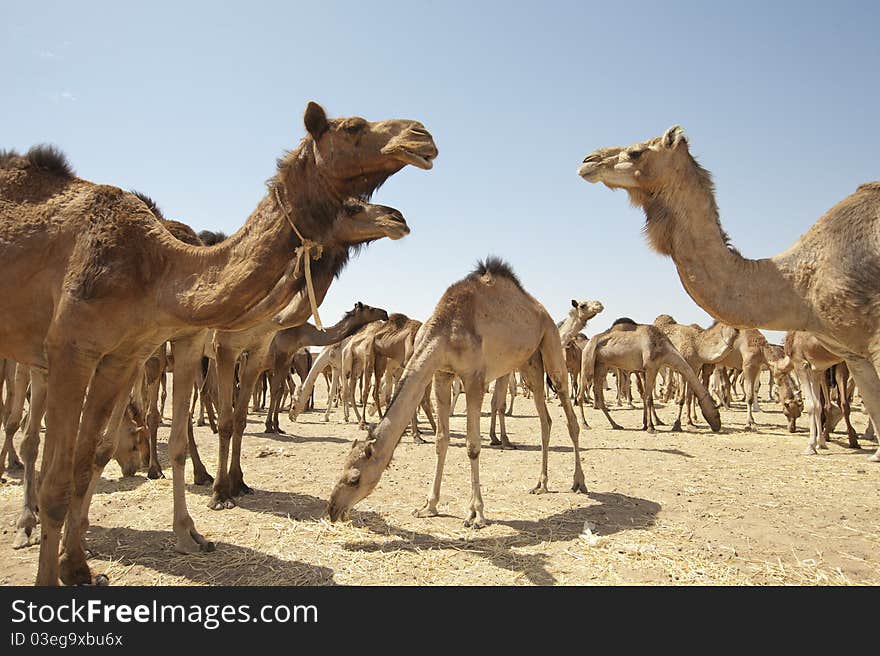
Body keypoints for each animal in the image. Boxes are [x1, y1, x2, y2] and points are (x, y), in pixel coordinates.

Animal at [0, 105, 436, 588]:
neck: (158, 267)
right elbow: (222, 421)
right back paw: (28, 521)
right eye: (353, 127)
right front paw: (219, 494)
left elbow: (105, 453)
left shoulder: (177, 351)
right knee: (36, 432)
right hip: (59, 359)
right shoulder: (88, 350)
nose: (421, 135)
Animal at [326, 258, 588, 532]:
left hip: (551, 344)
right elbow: (441, 440)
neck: (445, 332)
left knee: (569, 414)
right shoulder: (441, 374)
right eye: (341, 470)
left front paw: (476, 514)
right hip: (530, 362)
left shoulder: (474, 378)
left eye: (355, 479)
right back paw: (541, 484)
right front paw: (429, 506)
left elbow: (473, 445)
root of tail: (542, 310)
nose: (333, 509)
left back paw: (579, 482)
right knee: (545, 419)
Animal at [576, 316, 720, 434]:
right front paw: (650, 427)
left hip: (601, 365)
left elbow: (648, 396)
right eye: (717, 414)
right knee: (580, 394)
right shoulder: (651, 367)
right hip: (588, 361)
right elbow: (647, 396)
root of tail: (588, 342)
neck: (664, 349)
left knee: (599, 397)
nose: (717, 426)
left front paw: (646, 424)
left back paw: (616, 425)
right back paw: (585, 424)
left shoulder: (649, 369)